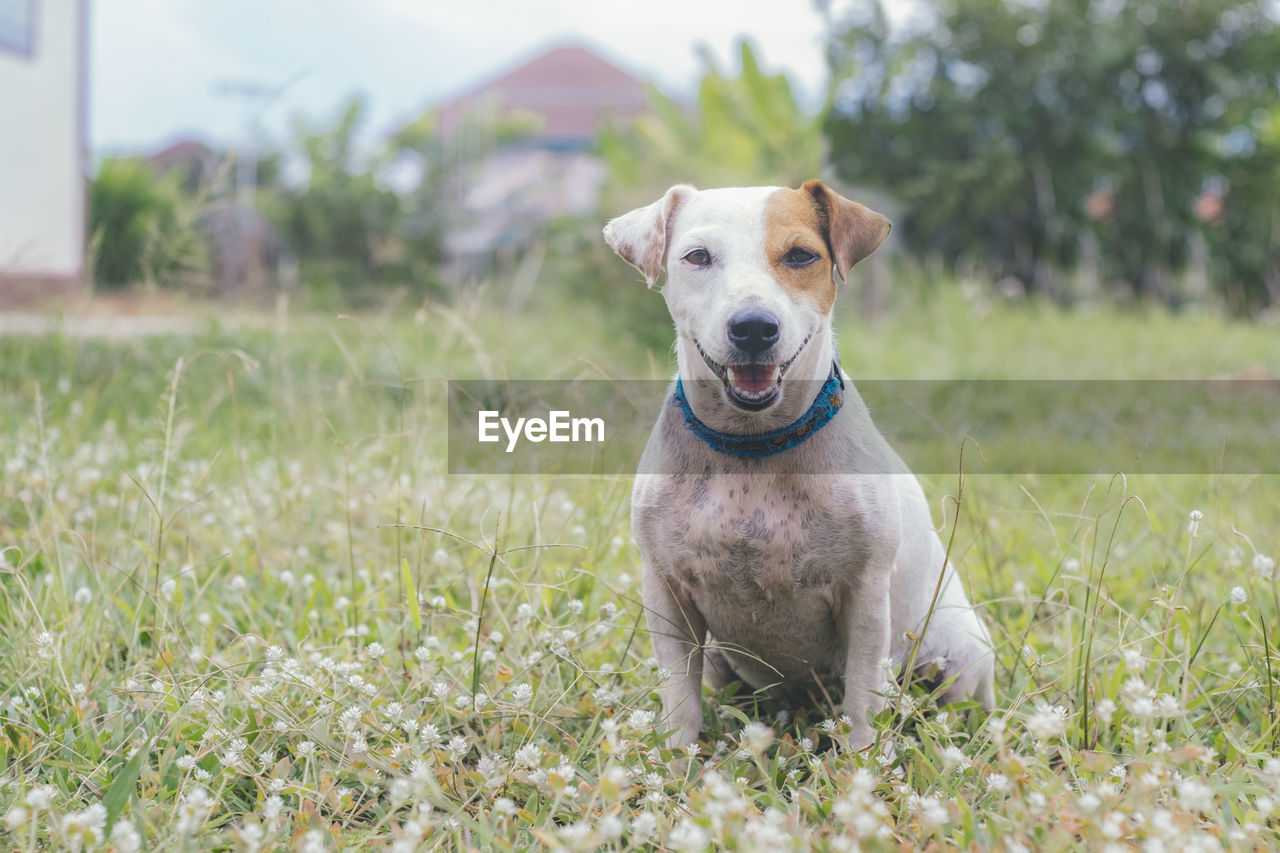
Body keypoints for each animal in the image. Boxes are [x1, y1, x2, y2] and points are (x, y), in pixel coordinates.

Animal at [604, 178, 993, 742]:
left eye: (801, 255)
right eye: (697, 256)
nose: (753, 327)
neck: (754, 447)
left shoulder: (864, 598)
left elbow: (862, 700)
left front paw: (860, 760)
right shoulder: (668, 593)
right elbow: (681, 702)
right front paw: (677, 756)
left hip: (957, 651)